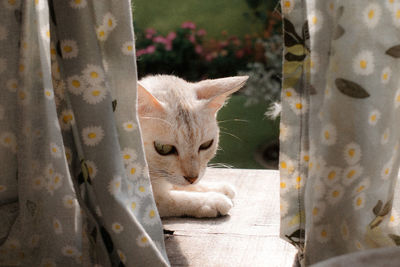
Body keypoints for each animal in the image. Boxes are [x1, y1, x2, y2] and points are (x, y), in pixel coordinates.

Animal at [139, 74, 248, 219]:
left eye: (206, 145)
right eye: (163, 148)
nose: (192, 178)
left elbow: (180, 186)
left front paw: (217, 188)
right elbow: (170, 199)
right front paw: (212, 200)